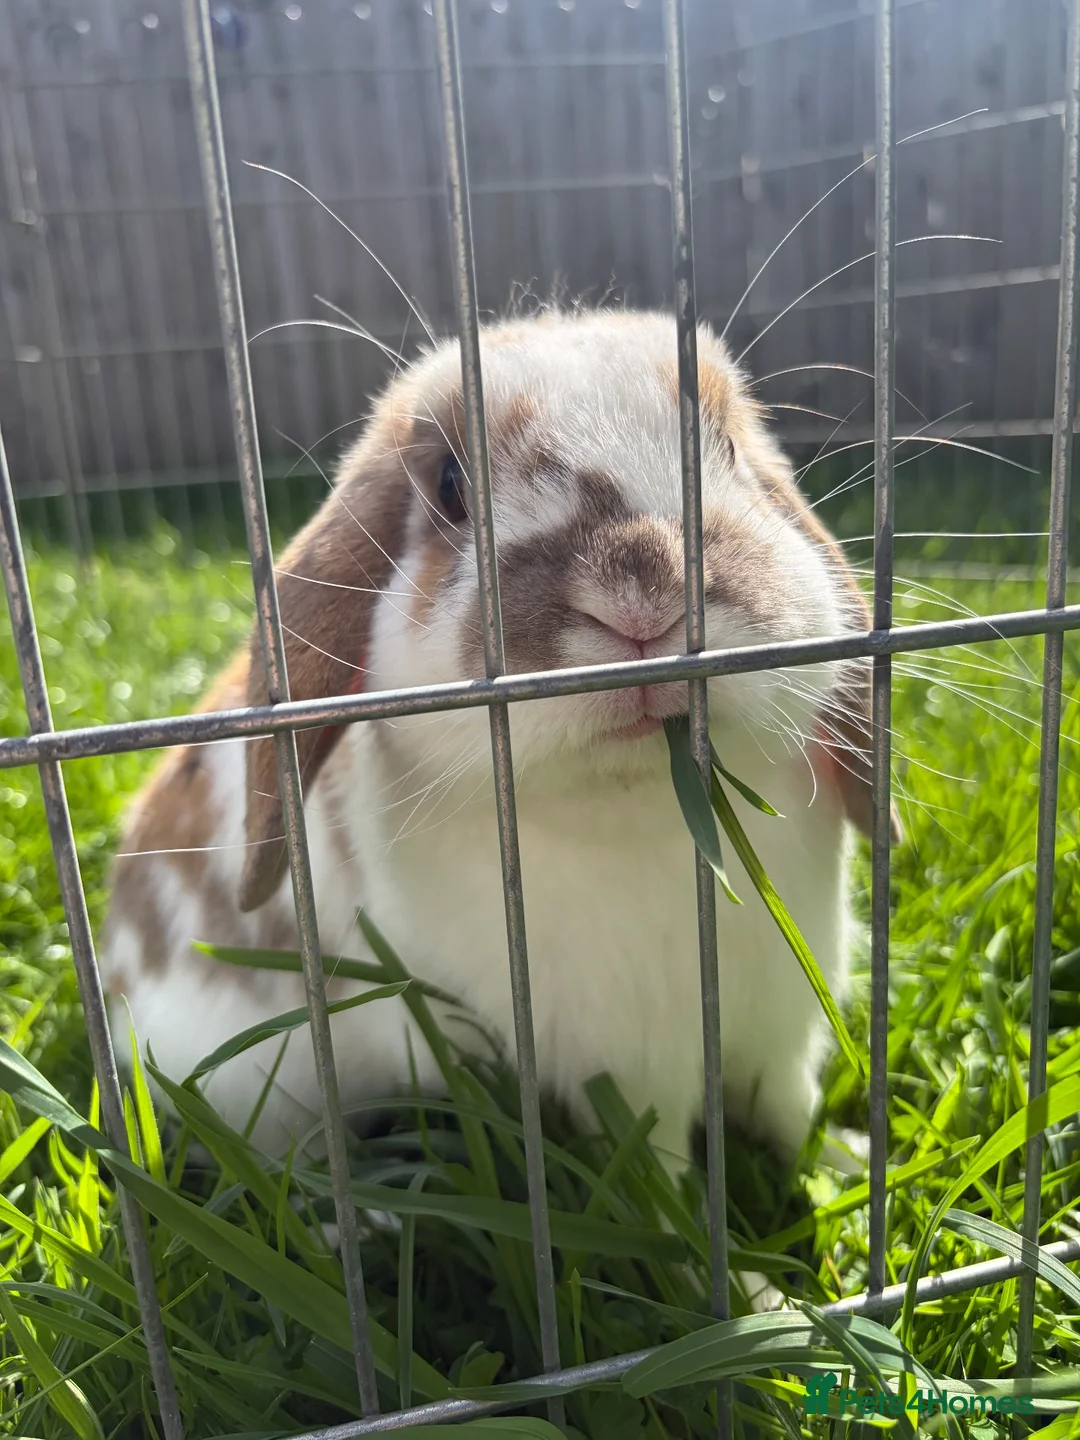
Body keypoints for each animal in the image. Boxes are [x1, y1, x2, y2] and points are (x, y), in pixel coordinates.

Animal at [101, 307, 892, 1176]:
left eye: (725, 447)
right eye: (450, 485)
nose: (643, 595)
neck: (638, 817)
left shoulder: (780, 1033)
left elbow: (790, 1111)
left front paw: (848, 1165)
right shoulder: (631, 1078)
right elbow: (661, 1171)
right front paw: (718, 1221)